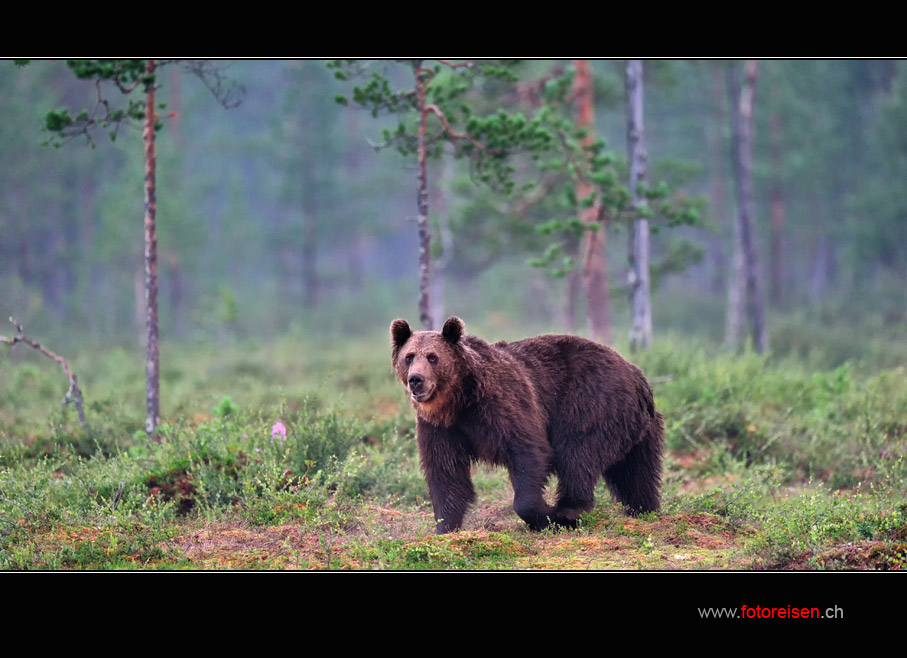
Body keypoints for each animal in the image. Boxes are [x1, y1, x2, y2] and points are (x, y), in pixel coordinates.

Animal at [392, 314, 668, 532]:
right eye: (409, 357)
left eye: (432, 357)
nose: (416, 380)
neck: (460, 401)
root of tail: (637, 375)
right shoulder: (441, 428)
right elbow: (446, 473)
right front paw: (445, 528)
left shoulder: (503, 405)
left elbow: (527, 451)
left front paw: (543, 516)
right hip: (637, 429)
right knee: (636, 472)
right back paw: (644, 508)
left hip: (592, 400)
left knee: (577, 454)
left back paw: (568, 512)